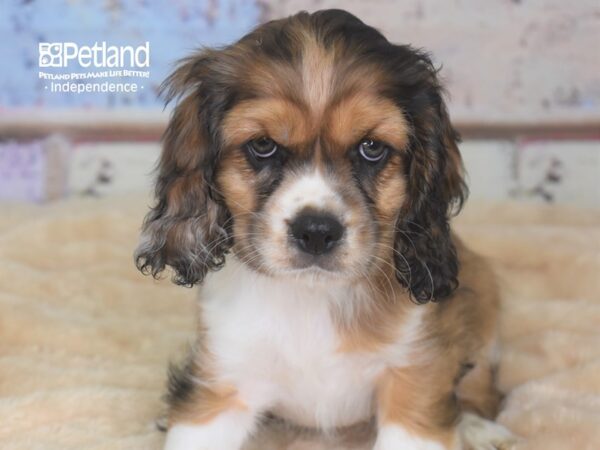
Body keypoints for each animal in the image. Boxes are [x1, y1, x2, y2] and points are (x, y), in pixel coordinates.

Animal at [137, 7, 516, 450]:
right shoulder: (222, 381)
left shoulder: (415, 375)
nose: (317, 231)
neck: (313, 298)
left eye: (372, 148)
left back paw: (478, 427)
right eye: (262, 145)